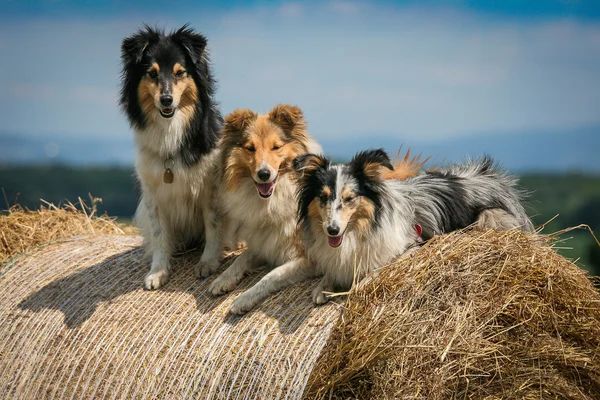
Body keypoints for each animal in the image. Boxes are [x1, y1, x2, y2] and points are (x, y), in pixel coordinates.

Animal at [120, 24, 224, 288]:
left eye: (180, 73)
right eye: (152, 73)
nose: (166, 99)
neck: (172, 128)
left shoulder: (210, 189)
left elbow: (213, 226)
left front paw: (208, 263)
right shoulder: (153, 194)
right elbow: (160, 236)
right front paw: (158, 272)